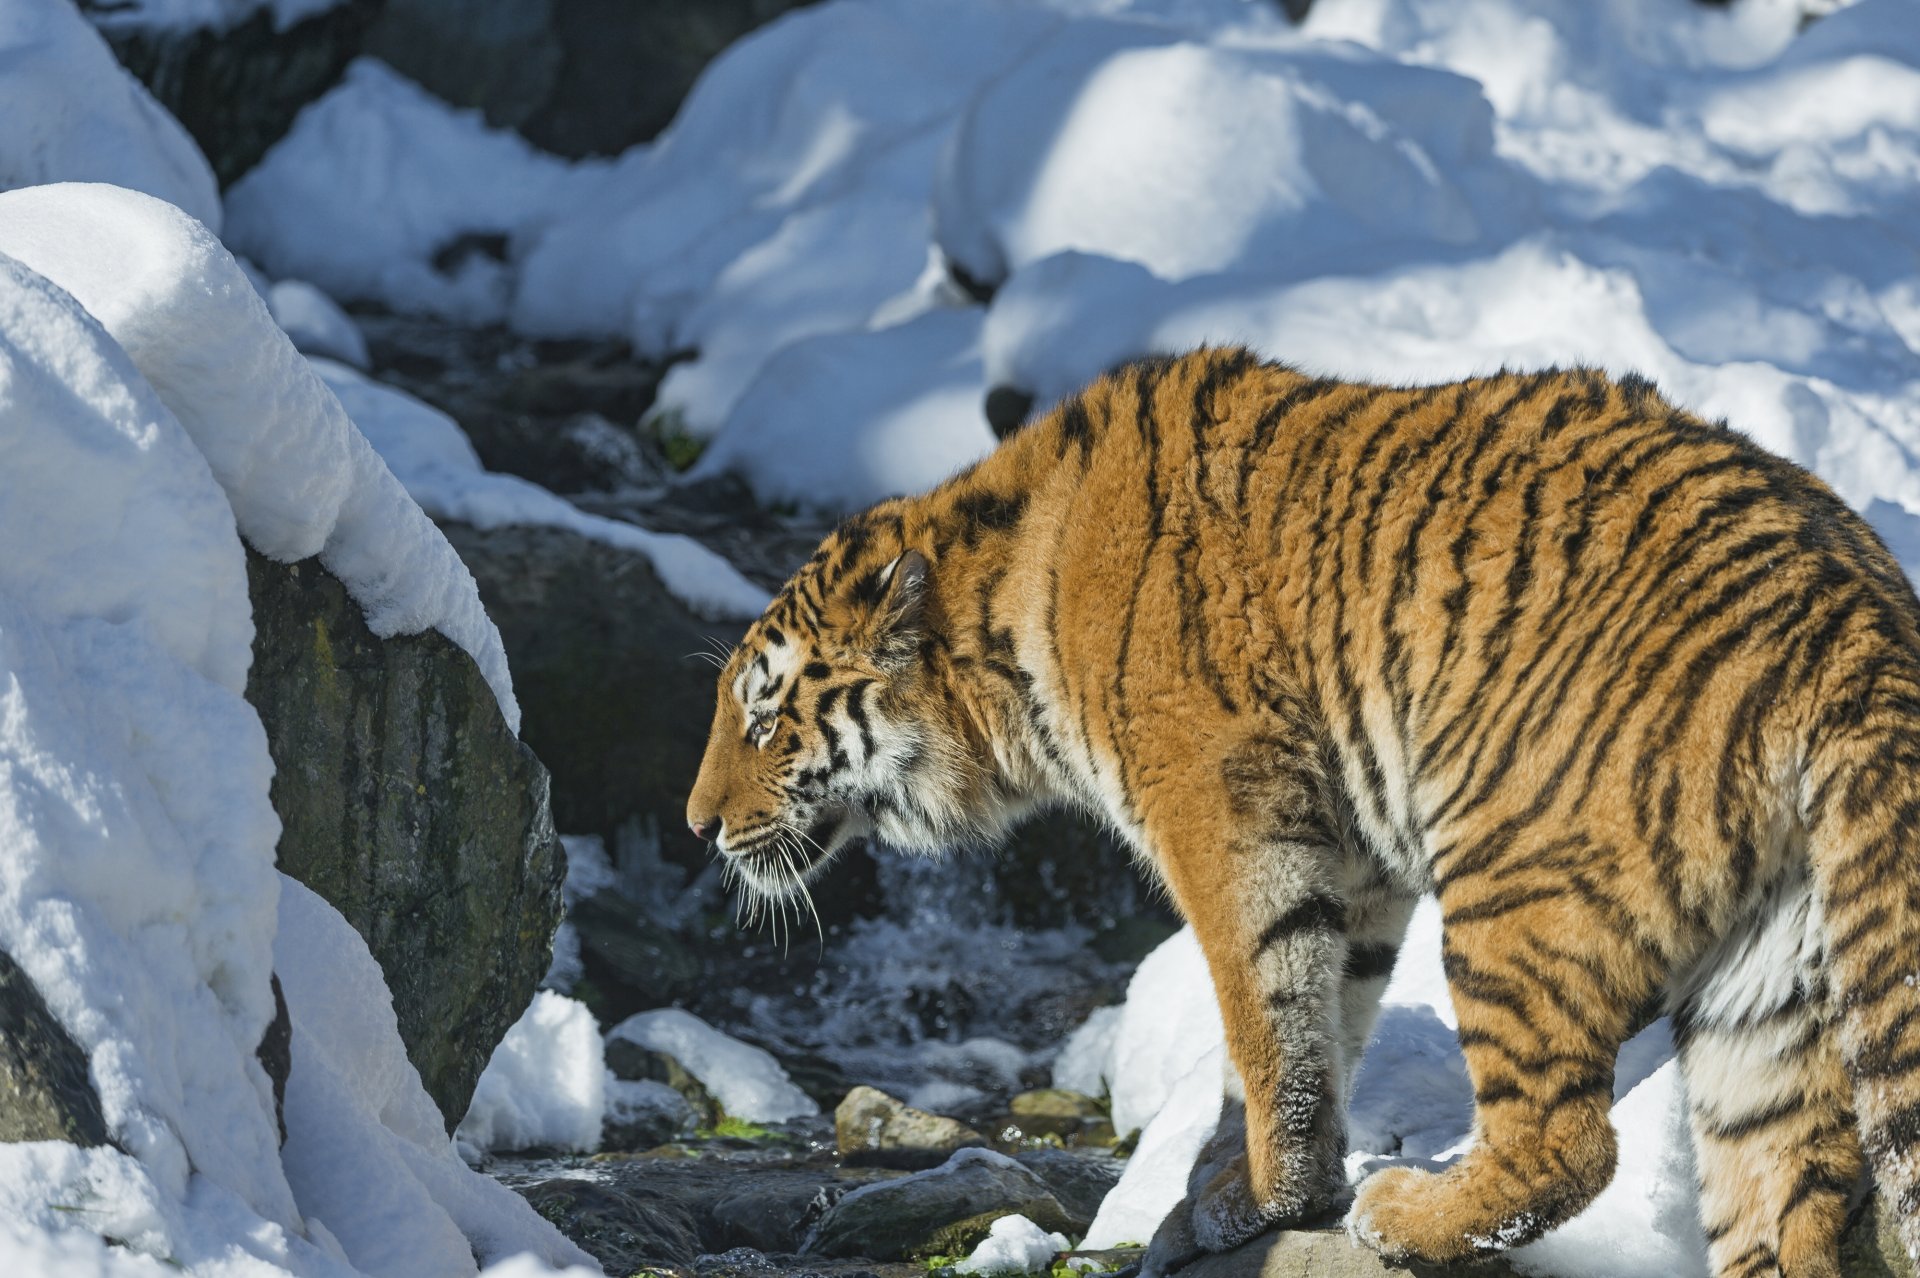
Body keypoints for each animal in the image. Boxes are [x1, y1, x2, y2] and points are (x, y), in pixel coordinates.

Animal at [686, 347, 1920, 1277]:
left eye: (763, 717)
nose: (698, 824)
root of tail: (1858, 614)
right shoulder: (1353, 858)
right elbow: (1330, 1015)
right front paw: (1285, 1186)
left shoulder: (1223, 812)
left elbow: (1262, 1008)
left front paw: (1257, 1200)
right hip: (1769, 985)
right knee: (1787, 1198)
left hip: (1519, 884)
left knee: (1566, 1143)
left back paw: (1409, 1215)